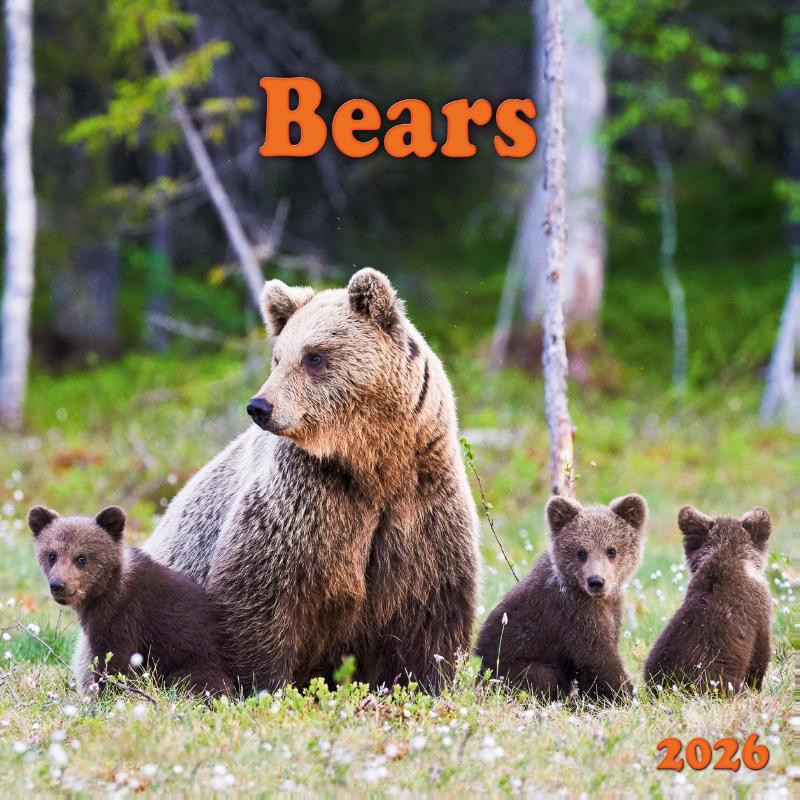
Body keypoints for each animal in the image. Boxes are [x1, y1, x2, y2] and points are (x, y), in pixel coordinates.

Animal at [30, 505, 230, 696]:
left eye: (81, 558)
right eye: (52, 555)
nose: (58, 585)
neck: (105, 591)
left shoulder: (123, 616)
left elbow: (115, 660)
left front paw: (107, 693)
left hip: (197, 660)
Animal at [140, 268, 480, 692]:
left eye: (314, 355)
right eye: (278, 357)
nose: (259, 406)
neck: (372, 464)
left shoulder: (421, 504)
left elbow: (431, 611)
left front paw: (423, 683)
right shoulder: (304, 503)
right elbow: (259, 598)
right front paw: (262, 685)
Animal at [475, 494, 647, 701]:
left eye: (611, 550)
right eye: (581, 552)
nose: (596, 581)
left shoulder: (611, 608)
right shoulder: (575, 613)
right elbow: (598, 658)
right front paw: (629, 696)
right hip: (512, 665)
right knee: (543, 677)